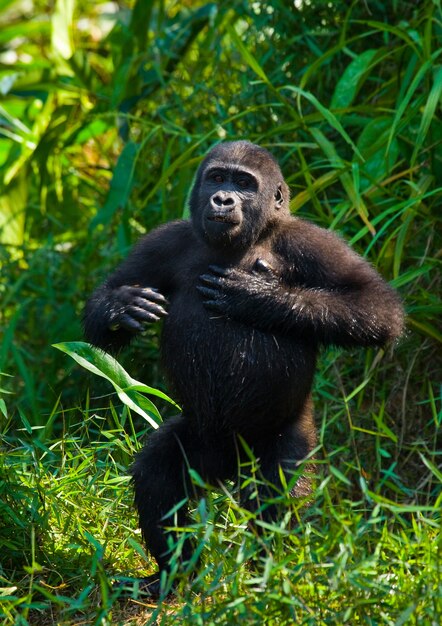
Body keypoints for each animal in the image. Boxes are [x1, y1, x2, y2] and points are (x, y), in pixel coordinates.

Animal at [83, 140, 404, 596]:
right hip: (204, 444)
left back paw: (267, 583)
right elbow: (102, 309)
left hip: (281, 442)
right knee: (158, 473)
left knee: (274, 495)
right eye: (218, 178)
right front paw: (121, 307)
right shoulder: (164, 240)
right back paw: (172, 575)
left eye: (244, 184)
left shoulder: (311, 242)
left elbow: (376, 305)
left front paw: (257, 297)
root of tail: (230, 467)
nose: (223, 199)